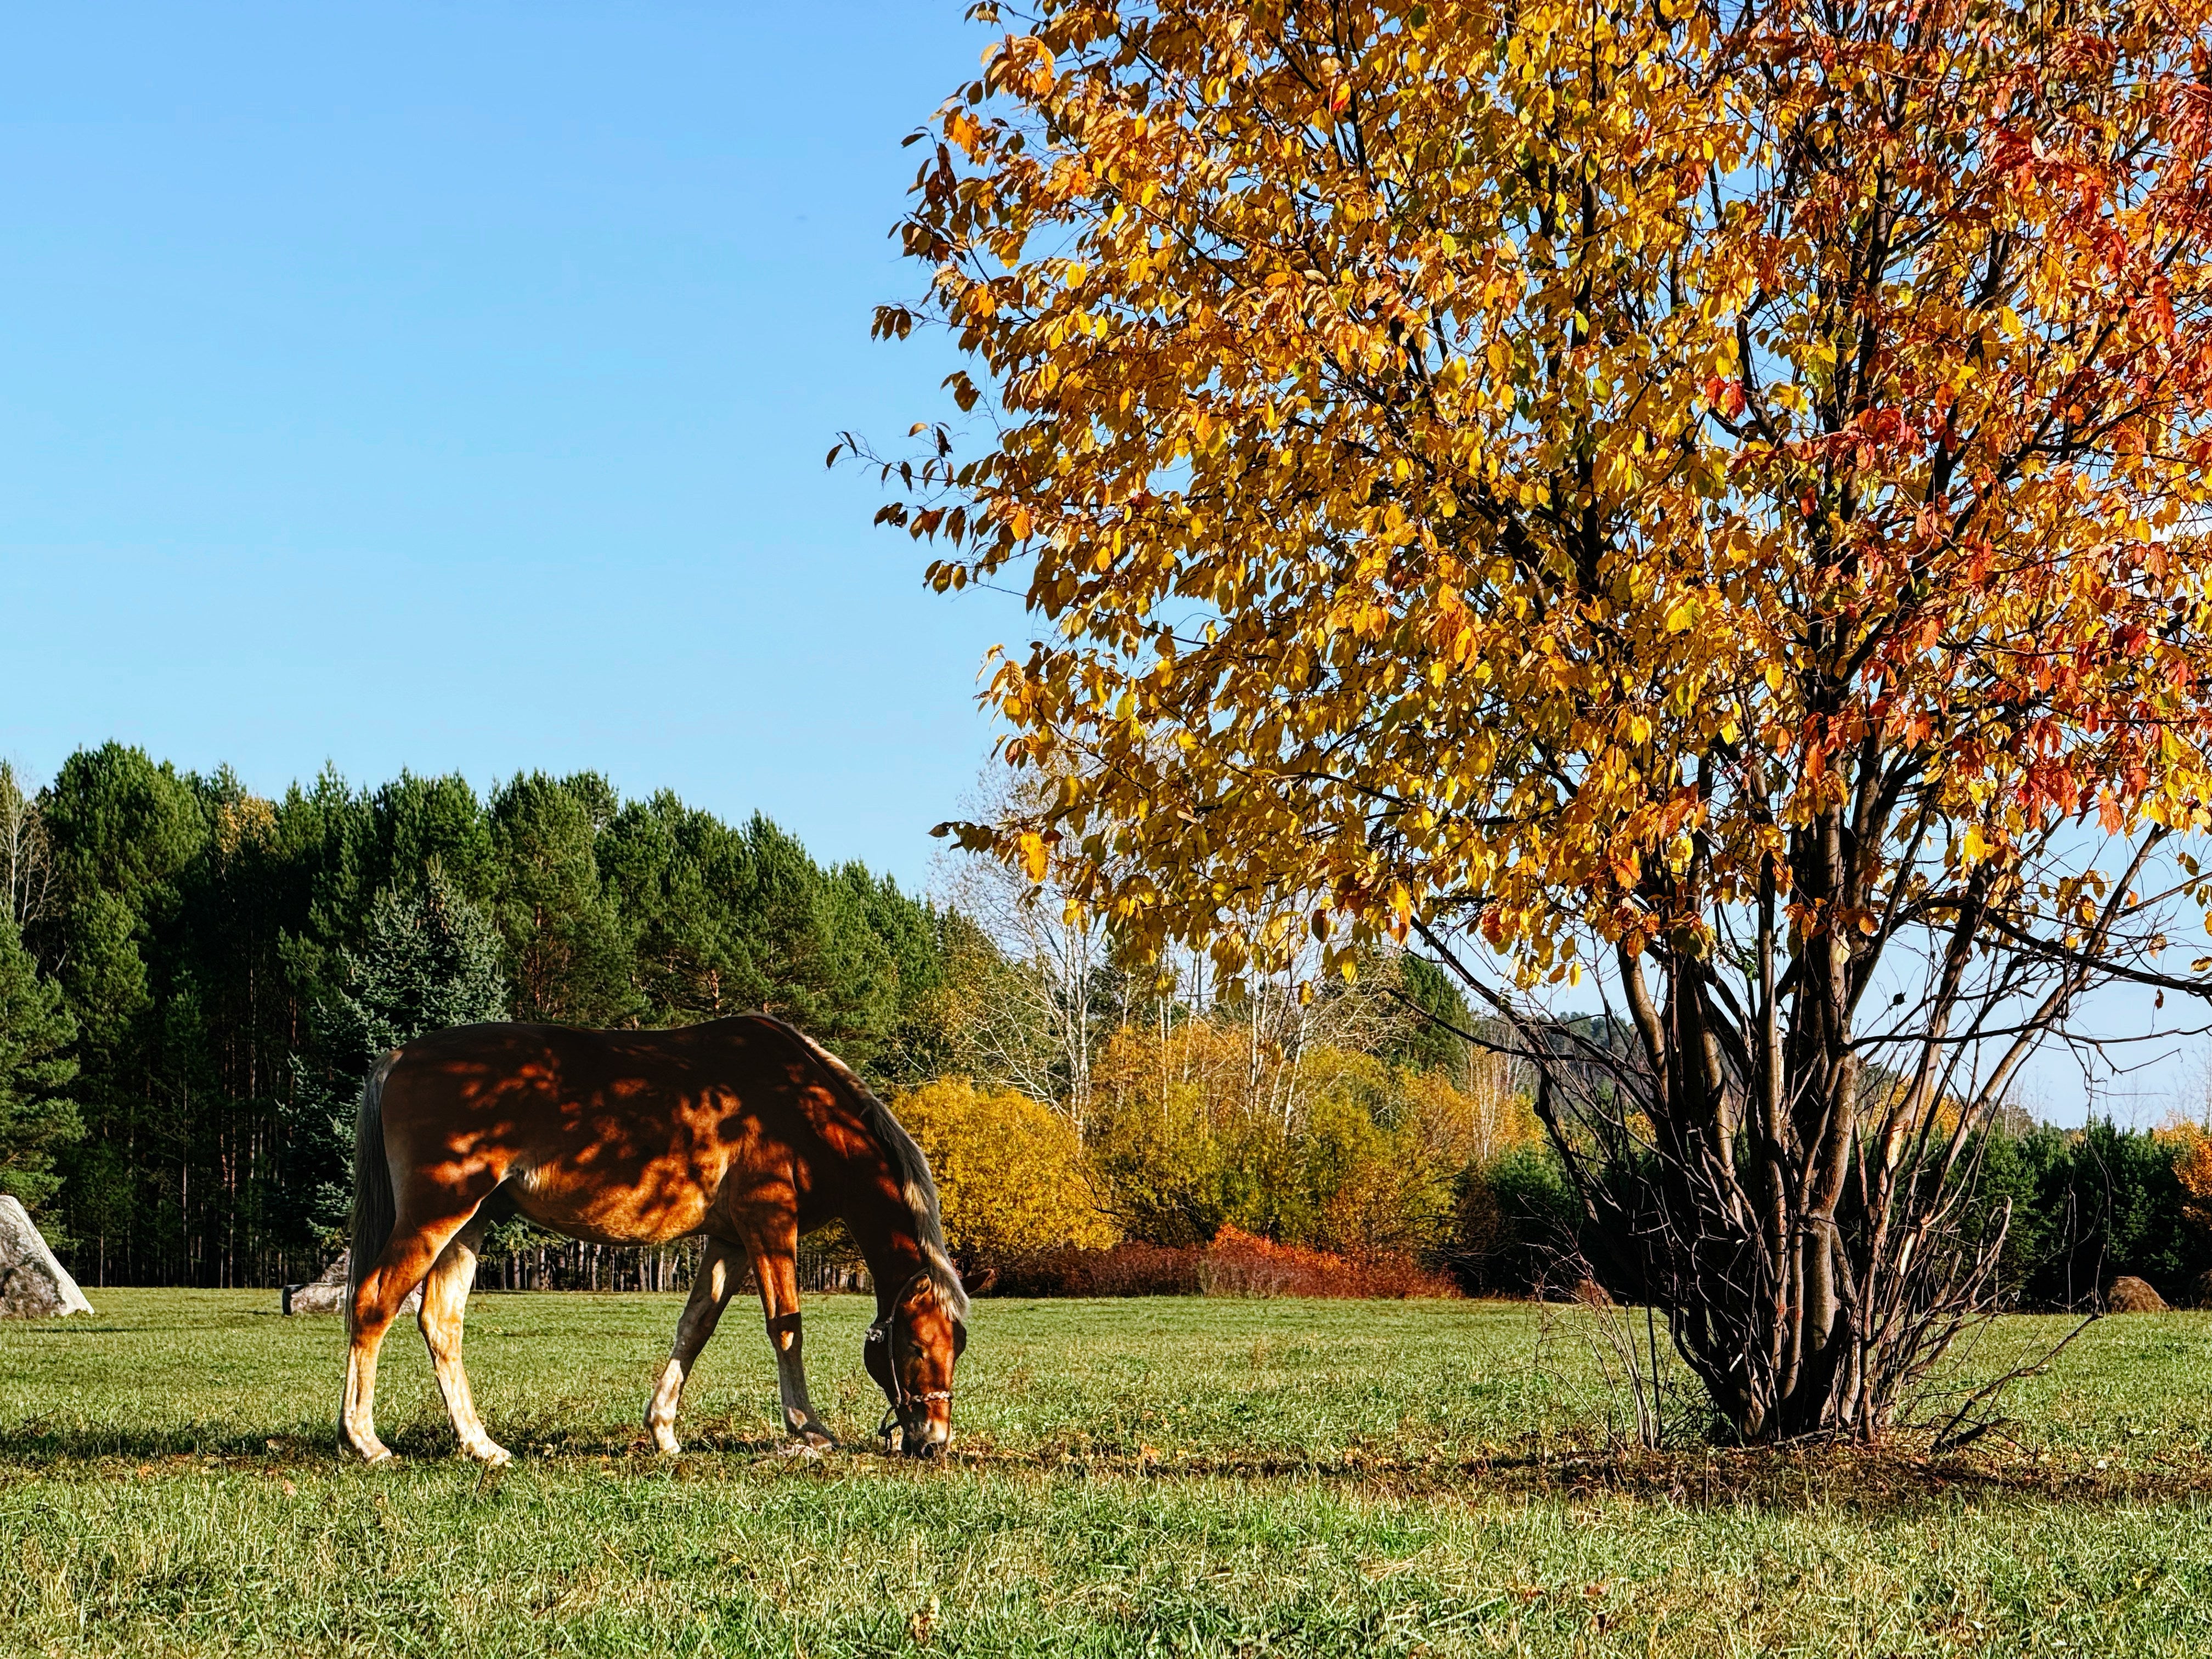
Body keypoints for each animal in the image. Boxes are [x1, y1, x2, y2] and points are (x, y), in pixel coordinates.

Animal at [337, 1013, 968, 1464]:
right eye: (916, 1346)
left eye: (956, 1347)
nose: (933, 1440)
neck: (802, 1108)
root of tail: (400, 1058)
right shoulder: (768, 1223)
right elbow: (786, 1326)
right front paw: (808, 1430)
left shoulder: (730, 1242)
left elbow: (695, 1328)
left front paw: (663, 1430)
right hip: (436, 1214)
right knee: (372, 1304)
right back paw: (365, 1440)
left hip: (470, 1222)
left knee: (441, 1323)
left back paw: (481, 1446)